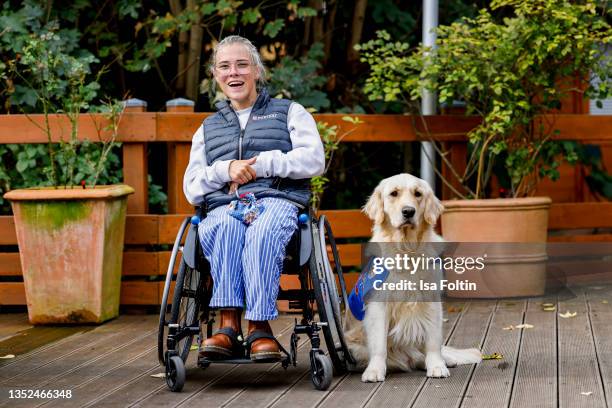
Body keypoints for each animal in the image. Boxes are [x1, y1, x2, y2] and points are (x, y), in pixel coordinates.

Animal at [342, 173, 480, 382]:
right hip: (353, 348)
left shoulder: (431, 301)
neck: (407, 250)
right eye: (393, 193)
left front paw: (437, 366)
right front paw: (374, 370)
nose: (408, 211)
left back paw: (445, 360)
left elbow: (433, 341)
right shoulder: (378, 305)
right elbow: (379, 344)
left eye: (418, 194)